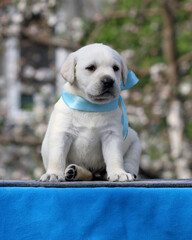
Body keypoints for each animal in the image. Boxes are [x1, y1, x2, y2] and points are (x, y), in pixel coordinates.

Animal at [40, 43, 141, 182]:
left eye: (115, 68)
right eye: (91, 67)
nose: (108, 81)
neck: (91, 106)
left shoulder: (111, 135)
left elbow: (115, 157)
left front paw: (118, 173)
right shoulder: (62, 134)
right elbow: (57, 157)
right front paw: (53, 173)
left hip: (135, 143)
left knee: (130, 161)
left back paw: (127, 171)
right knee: (88, 174)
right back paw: (74, 172)